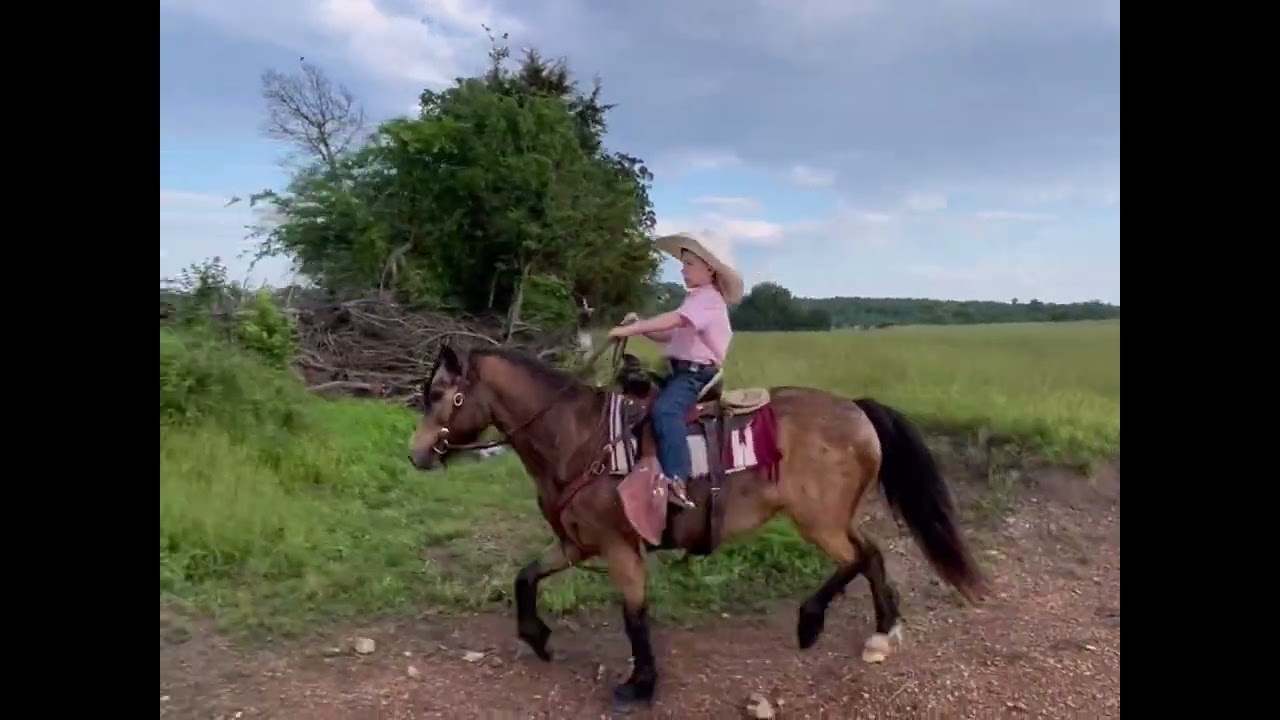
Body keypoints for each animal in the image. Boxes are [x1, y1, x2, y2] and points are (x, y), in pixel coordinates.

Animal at [406, 341, 987, 712]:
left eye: (440, 396)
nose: (416, 455)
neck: (579, 438)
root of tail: (857, 410)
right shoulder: (576, 542)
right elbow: (525, 576)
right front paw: (538, 638)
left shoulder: (619, 547)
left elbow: (634, 616)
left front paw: (640, 685)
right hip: (831, 518)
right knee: (871, 554)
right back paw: (883, 629)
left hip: (819, 521)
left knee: (858, 558)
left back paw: (813, 623)